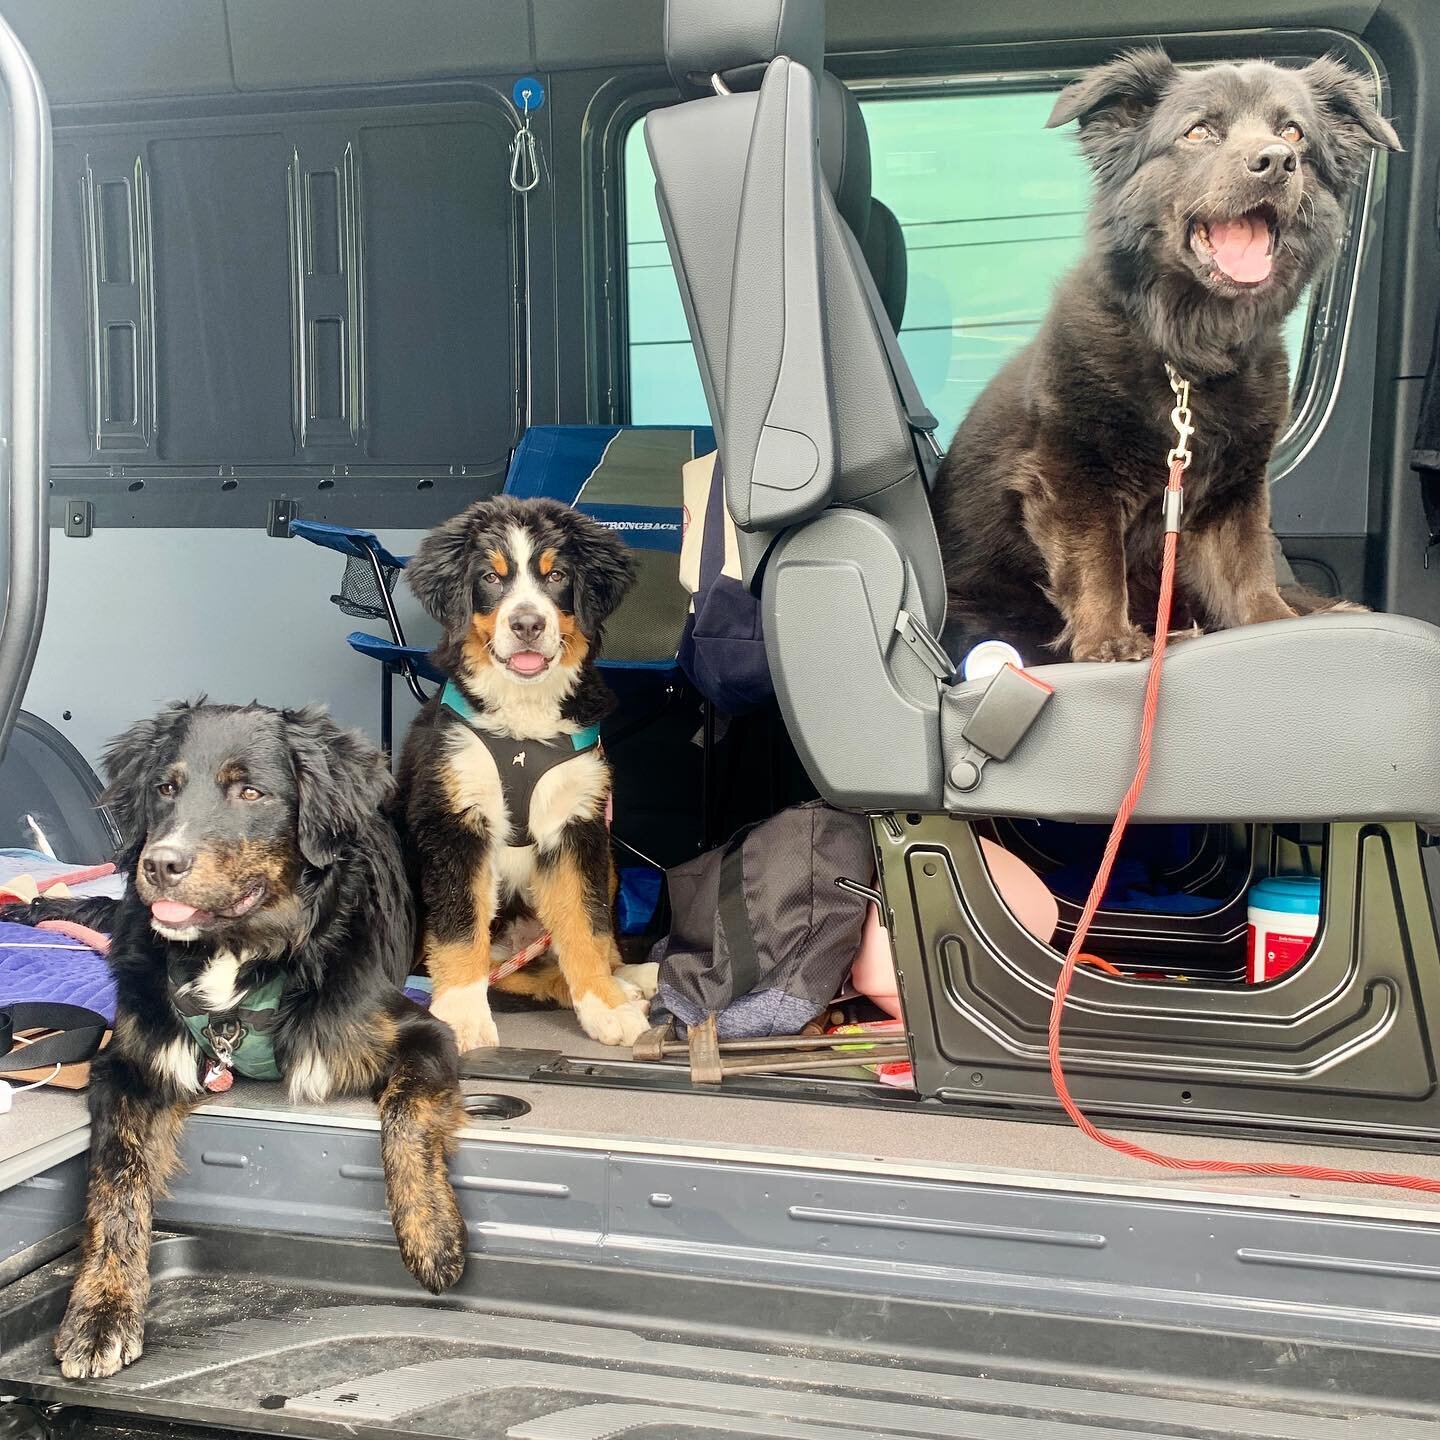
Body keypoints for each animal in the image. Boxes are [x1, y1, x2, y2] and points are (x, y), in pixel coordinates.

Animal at [7, 702, 466, 1376]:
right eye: (164, 789)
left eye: (250, 792)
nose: (159, 864)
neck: (239, 953)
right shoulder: (129, 1062)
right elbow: (116, 1178)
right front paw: (100, 1311)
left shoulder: (422, 1032)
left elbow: (407, 1113)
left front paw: (433, 1235)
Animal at [400, 501, 659, 1054]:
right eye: (490, 579)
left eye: (556, 576)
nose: (526, 623)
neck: (522, 722)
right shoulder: (453, 822)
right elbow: (459, 929)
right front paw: (461, 1017)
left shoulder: (577, 824)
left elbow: (585, 926)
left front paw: (605, 1005)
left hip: (607, 858)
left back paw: (628, 980)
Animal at [927, 52, 1399, 662]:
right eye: (1198, 131)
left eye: (1293, 132)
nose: (1276, 161)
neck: (1189, 358)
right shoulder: (1074, 475)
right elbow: (1097, 561)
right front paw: (1107, 640)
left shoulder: (1231, 492)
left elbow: (1248, 571)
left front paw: (1274, 623)